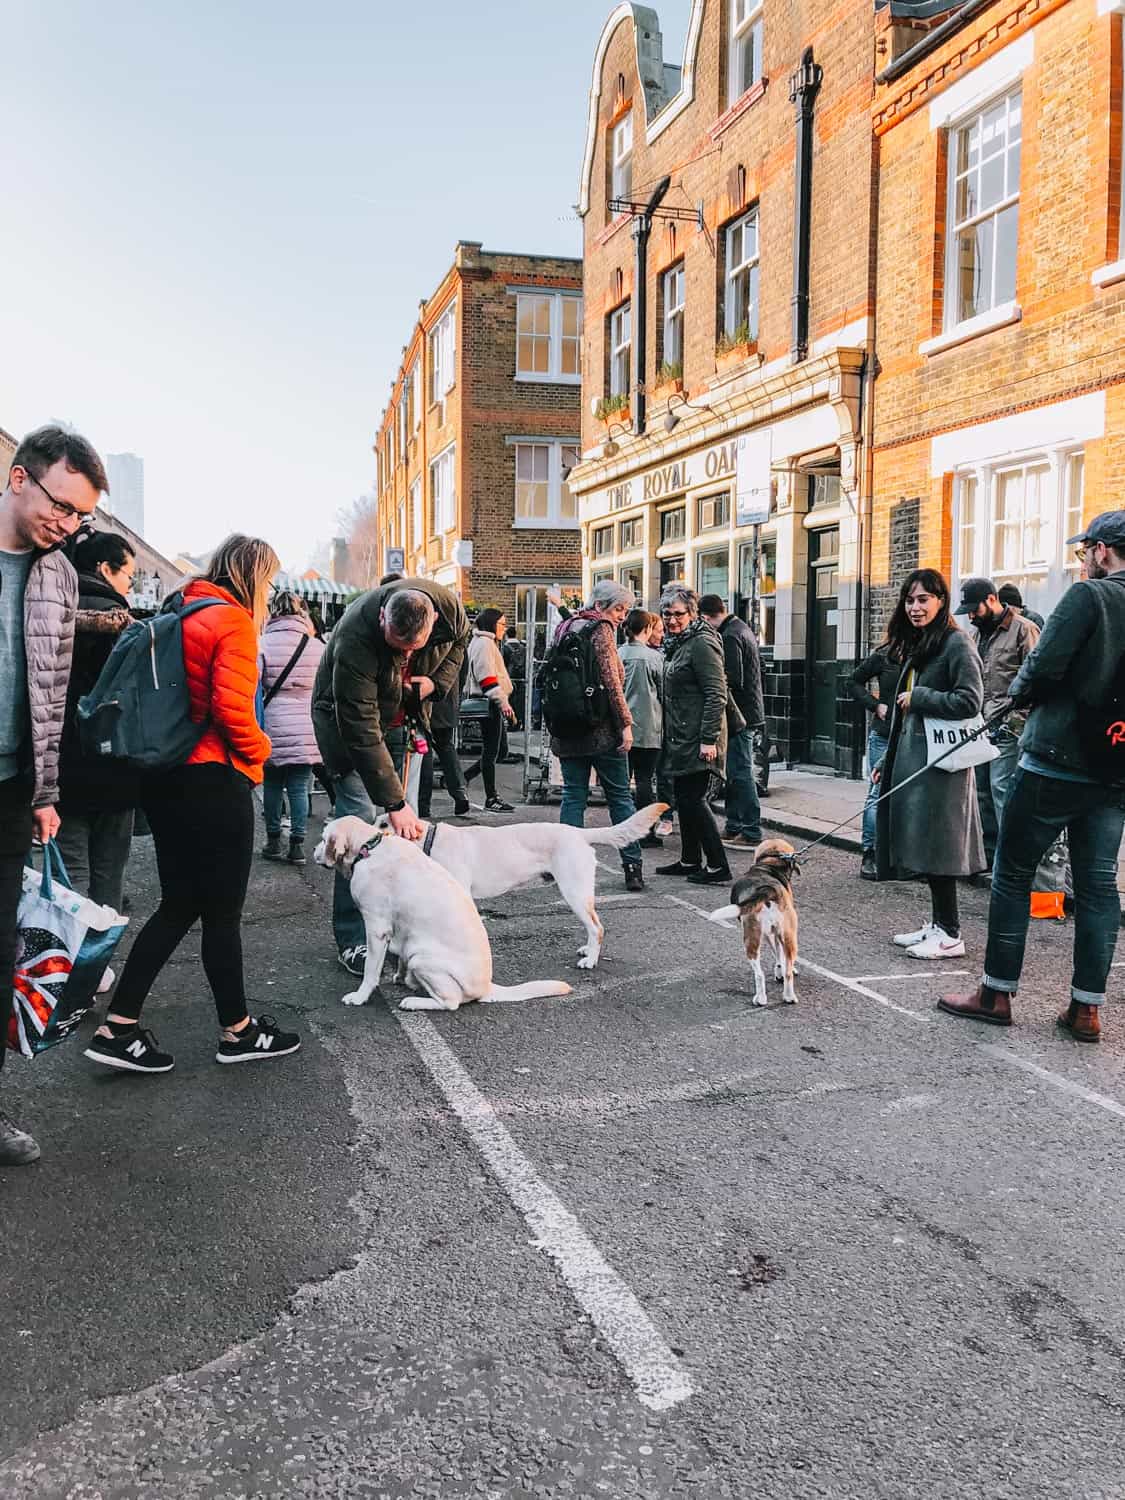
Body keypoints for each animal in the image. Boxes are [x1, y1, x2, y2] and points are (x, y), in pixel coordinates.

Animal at [714, 834, 804, 1008]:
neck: (770, 863)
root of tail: (767, 889)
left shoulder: (769, 934)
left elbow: (777, 954)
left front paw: (778, 971)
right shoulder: (776, 933)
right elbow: (782, 957)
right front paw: (782, 971)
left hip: (751, 938)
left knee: (759, 974)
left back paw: (761, 998)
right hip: (788, 934)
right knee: (786, 973)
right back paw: (789, 996)